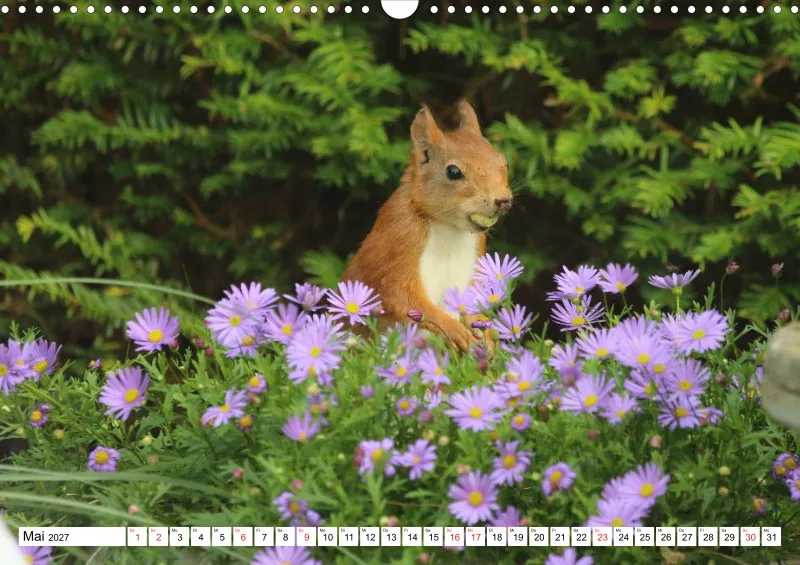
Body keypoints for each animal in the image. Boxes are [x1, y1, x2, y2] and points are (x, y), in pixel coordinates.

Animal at [341, 100, 513, 352]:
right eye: (453, 171)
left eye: (503, 162)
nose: (503, 200)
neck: (450, 228)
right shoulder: (399, 239)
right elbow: (398, 295)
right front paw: (454, 330)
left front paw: (486, 334)